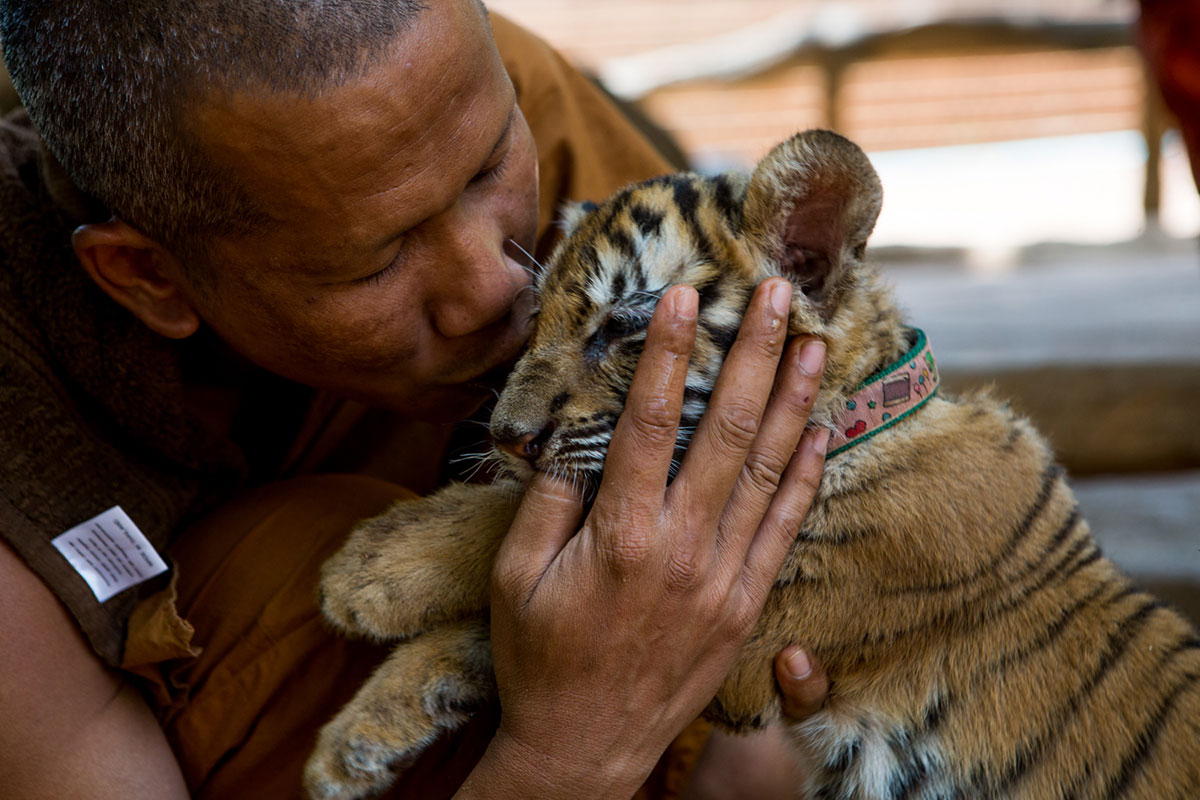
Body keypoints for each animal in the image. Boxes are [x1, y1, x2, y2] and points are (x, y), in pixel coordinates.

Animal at [304, 129, 1200, 800]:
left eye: (622, 326)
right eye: (537, 320)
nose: (505, 437)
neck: (856, 413)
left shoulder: (755, 620)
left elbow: (520, 560)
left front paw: (366, 571)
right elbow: (496, 625)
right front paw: (346, 747)